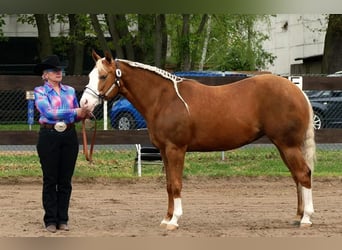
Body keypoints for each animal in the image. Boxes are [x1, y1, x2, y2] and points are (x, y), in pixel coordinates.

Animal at [81, 50, 316, 230]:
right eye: (91, 75)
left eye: (103, 76)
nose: (84, 103)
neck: (164, 99)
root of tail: (297, 91)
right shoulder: (164, 151)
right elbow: (168, 185)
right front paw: (166, 218)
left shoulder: (176, 149)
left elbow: (176, 184)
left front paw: (174, 221)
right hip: (284, 146)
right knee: (297, 177)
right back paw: (298, 216)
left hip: (288, 145)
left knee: (303, 174)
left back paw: (306, 218)